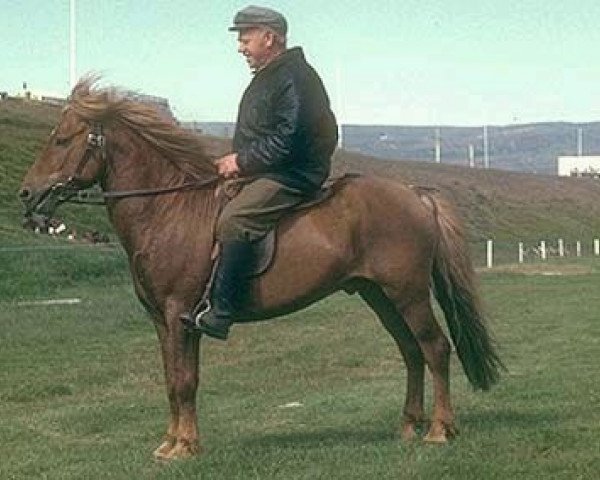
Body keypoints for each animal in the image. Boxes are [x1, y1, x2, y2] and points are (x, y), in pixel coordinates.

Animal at [19, 79, 502, 462]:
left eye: (61, 139)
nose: (26, 193)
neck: (169, 210)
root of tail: (415, 194)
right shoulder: (163, 320)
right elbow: (174, 380)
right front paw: (175, 441)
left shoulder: (178, 315)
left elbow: (184, 382)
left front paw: (183, 446)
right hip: (378, 295)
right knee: (410, 351)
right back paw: (407, 425)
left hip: (408, 293)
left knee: (435, 348)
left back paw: (439, 430)